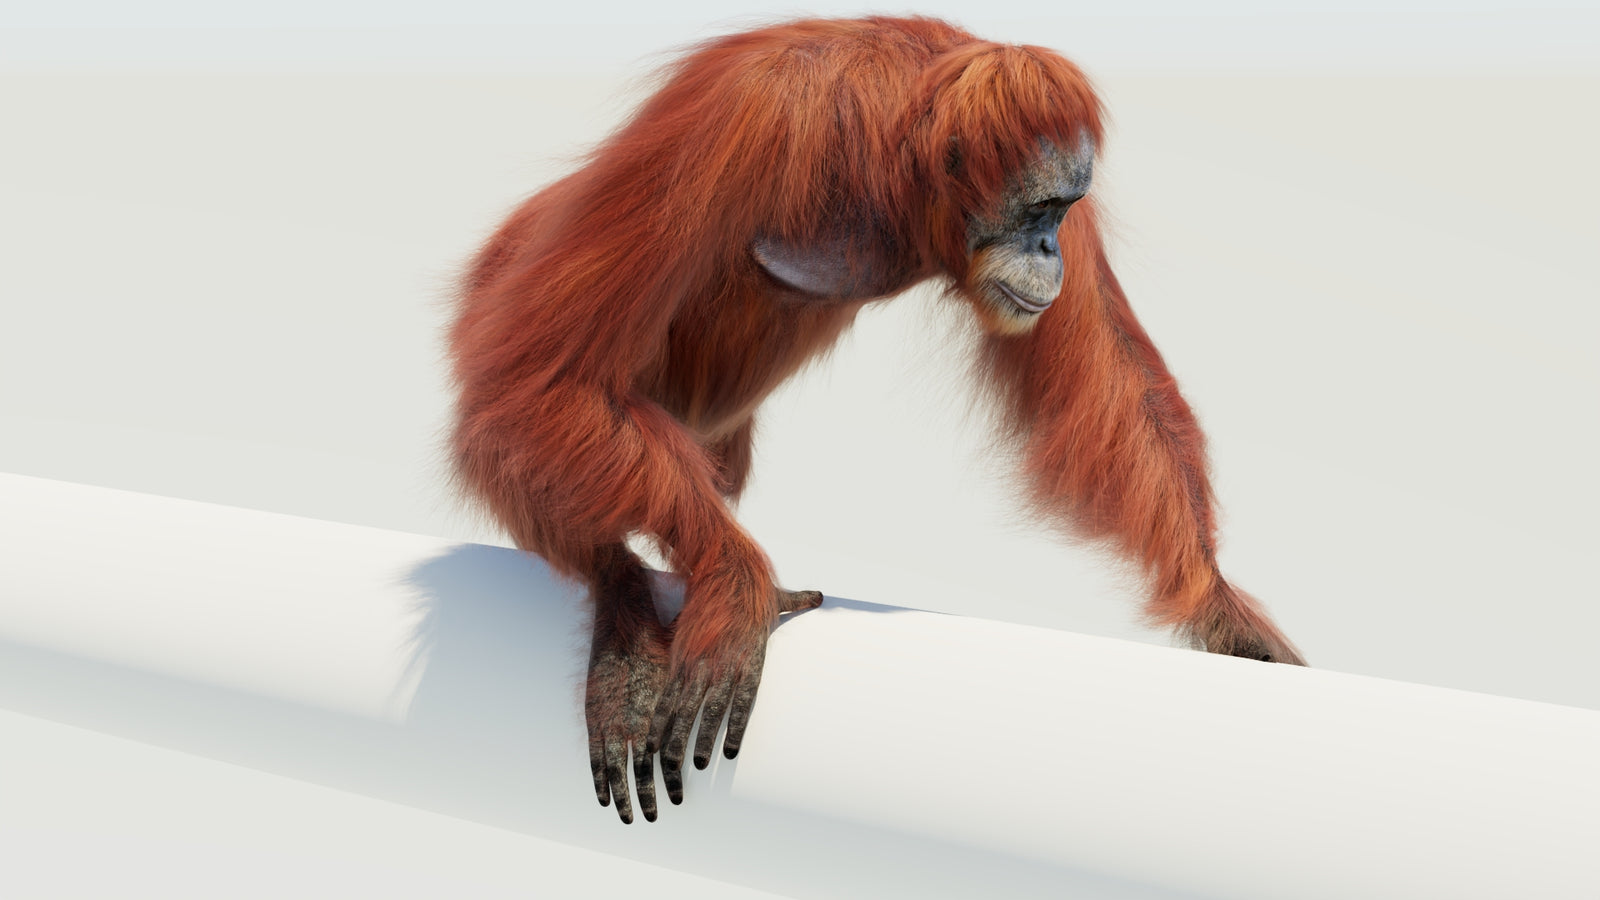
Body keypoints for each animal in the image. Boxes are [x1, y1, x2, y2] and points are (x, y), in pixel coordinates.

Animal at [448, 15, 1304, 824]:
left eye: (1063, 212)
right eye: (1039, 207)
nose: (1049, 249)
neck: (894, 157)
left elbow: (1113, 379)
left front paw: (1223, 612)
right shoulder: (747, 116)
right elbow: (546, 376)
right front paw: (734, 582)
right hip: (503, 289)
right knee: (516, 405)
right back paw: (623, 609)